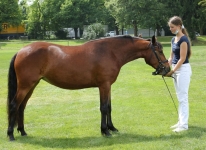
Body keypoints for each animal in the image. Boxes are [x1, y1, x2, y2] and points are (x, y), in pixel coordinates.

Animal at [6, 35, 171, 141]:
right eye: (160, 51)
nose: (167, 69)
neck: (110, 52)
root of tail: (21, 51)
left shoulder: (108, 86)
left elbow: (109, 107)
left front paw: (112, 128)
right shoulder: (104, 85)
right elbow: (103, 108)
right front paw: (105, 131)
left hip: (32, 85)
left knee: (21, 107)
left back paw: (23, 131)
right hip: (26, 85)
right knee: (14, 105)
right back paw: (11, 135)